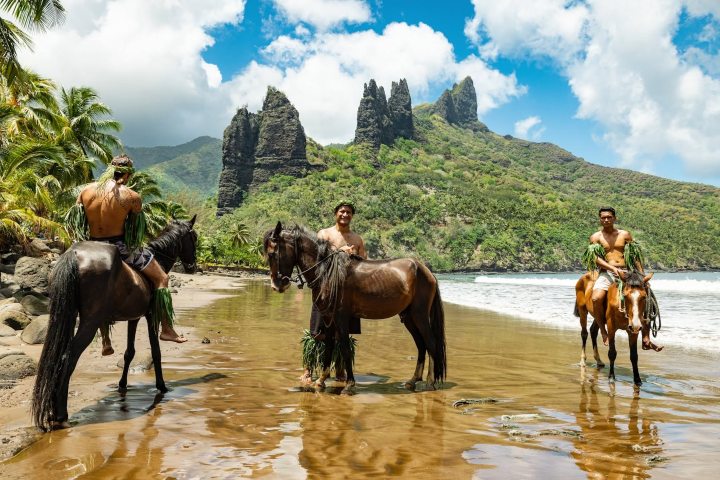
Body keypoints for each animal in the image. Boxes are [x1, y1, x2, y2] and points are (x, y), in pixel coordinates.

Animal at [32, 216, 198, 431]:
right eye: (194, 238)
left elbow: (129, 353)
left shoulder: (134, 317)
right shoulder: (150, 315)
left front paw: (122, 384)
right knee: (68, 357)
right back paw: (61, 414)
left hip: (66, 313)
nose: (193, 266)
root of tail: (73, 254)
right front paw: (161, 386)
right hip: (90, 321)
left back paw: (53, 409)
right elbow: (156, 352)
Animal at [263, 222, 446, 394]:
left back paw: (430, 382)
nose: (276, 285)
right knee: (421, 345)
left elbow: (344, 347)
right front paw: (321, 381)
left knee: (431, 343)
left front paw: (349, 384)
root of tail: (425, 270)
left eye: (272, 253)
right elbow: (329, 346)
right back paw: (413, 380)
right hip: (408, 317)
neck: (328, 272)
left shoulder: (340, 316)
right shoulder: (328, 318)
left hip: (419, 315)